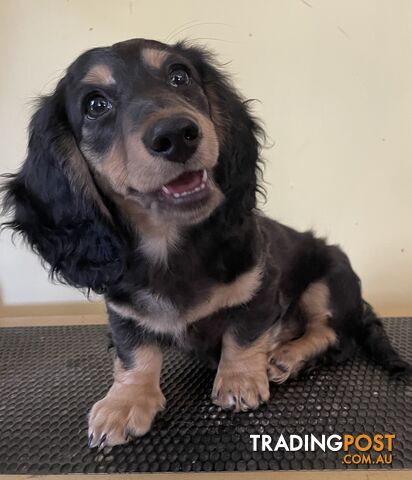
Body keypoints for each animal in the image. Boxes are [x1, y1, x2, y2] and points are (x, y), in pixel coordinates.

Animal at [1, 37, 410, 446]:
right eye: (95, 105)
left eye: (179, 76)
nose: (176, 134)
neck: (171, 245)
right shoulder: (123, 310)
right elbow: (134, 353)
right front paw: (126, 400)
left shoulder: (259, 285)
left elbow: (244, 334)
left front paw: (240, 380)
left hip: (329, 278)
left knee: (333, 335)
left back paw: (286, 357)